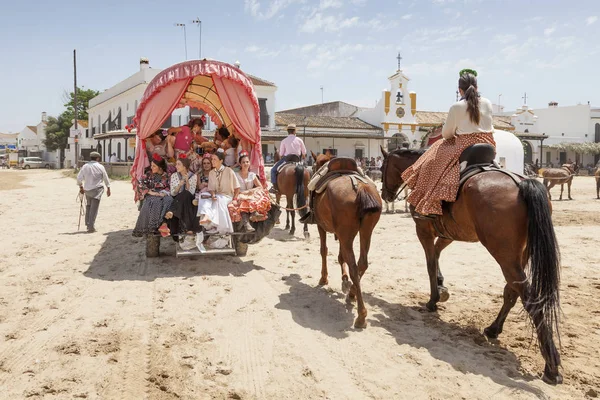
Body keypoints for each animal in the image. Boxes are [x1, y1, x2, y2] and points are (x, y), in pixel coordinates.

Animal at [312, 150, 382, 328]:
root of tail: (360, 187)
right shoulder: (341, 234)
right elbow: (340, 256)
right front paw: (344, 281)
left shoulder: (321, 226)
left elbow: (324, 251)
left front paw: (324, 278)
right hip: (365, 232)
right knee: (362, 263)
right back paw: (352, 294)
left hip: (346, 234)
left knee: (354, 267)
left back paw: (361, 315)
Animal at [380, 147, 564, 384]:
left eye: (382, 169)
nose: (385, 195)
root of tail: (522, 184)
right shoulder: (449, 233)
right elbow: (437, 255)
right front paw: (441, 285)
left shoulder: (423, 230)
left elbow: (430, 263)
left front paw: (433, 299)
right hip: (519, 256)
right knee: (512, 291)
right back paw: (494, 329)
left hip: (505, 256)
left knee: (530, 300)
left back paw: (551, 366)